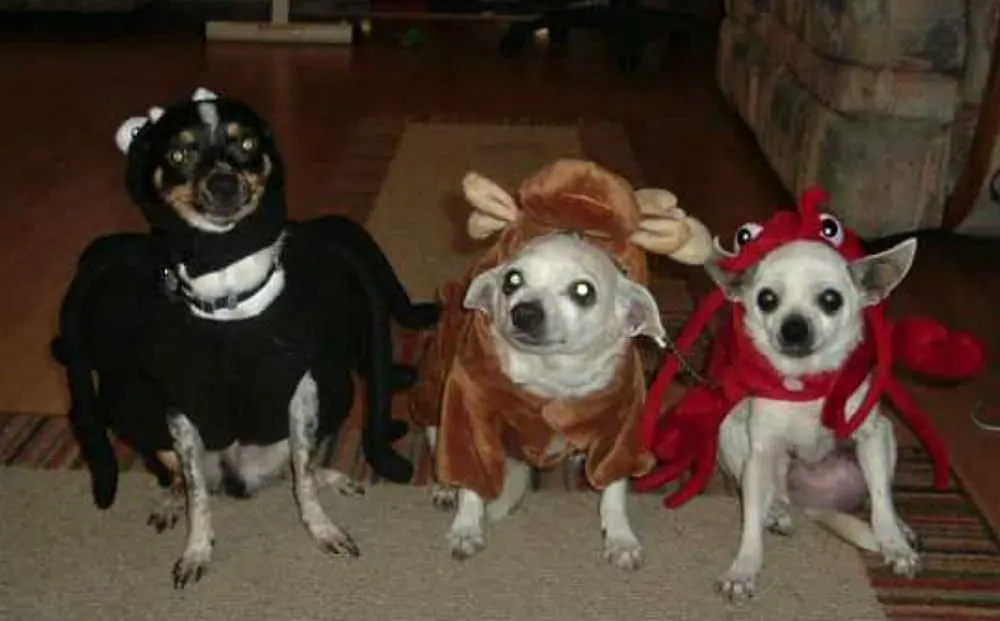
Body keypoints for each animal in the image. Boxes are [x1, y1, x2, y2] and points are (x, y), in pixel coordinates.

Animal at [48, 87, 436, 588]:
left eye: (247, 144)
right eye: (178, 154)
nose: (224, 185)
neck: (231, 300)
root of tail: (239, 479)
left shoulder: (301, 394)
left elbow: (304, 480)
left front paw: (323, 529)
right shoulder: (181, 412)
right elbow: (197, 496)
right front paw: (196, 549)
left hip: (324, 406)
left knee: (300, 468)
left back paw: (335, 478)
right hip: (150, 424)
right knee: (183, 479)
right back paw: (171, 503)